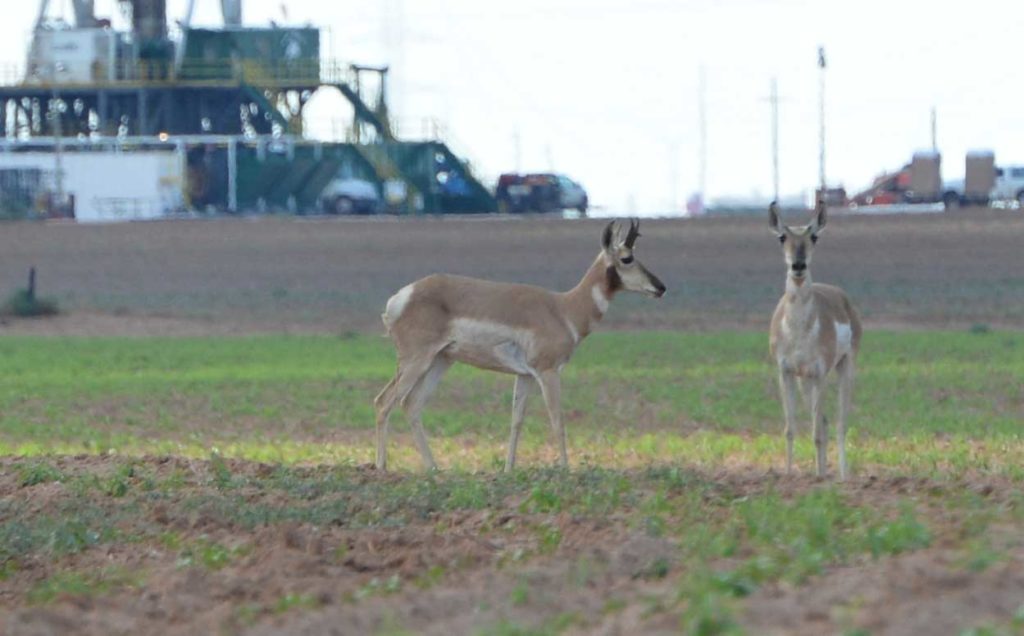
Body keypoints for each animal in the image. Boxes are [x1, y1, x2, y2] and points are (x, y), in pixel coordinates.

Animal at [374, 220, 666, 472]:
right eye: (627, 258)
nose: (660, 287)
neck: (564, 308)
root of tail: (399, 298)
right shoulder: (548, 372)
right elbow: (557, 419)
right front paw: (565, 468)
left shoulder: (524, 375)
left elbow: (516, 421)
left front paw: (508, 469)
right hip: (417, 361)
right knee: (385, 401)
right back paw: (382, 468)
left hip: (440, 361)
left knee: (411, 404)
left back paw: (434, 469)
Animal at [769, 198, 862, 480]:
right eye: (782, 237)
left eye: (814, 236)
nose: (798, 266)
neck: (799, 330)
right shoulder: (786, 373)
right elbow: (790, 429)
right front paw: (789, 474)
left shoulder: (820, 374)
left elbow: (817, 433)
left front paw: (819, 477)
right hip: (805, 381)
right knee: (825, 420)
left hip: (844, 368)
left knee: (839, 422)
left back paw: (842, 475)